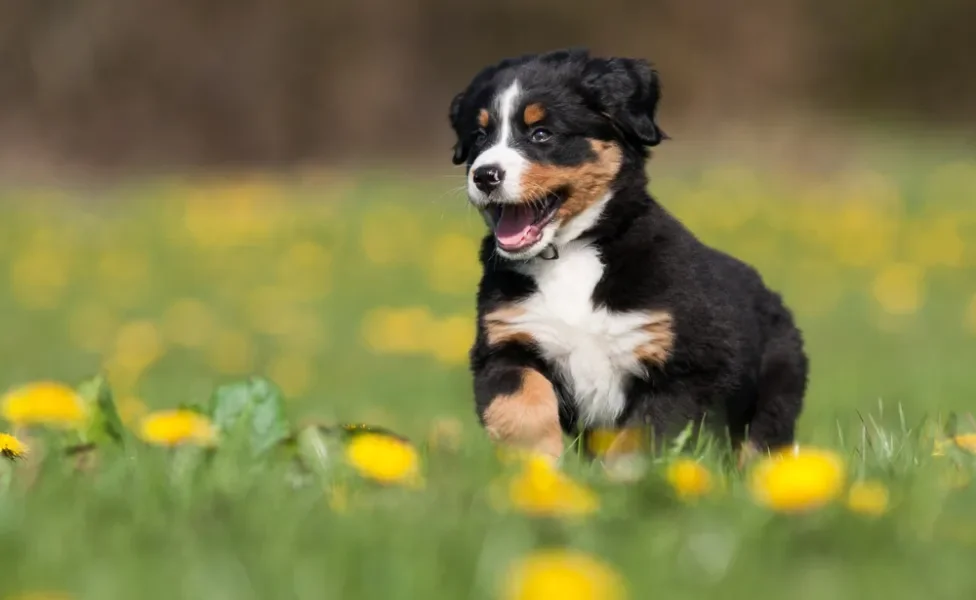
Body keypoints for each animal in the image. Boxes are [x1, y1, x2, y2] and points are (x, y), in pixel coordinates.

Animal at [450, 50, 808, 464]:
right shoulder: (505, 342)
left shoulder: (687, 367)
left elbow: (642, 437)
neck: (571, 252)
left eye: (541, 133)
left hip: (776, 389)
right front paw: (537, 467)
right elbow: (521, 406)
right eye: (479, 137)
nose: (485, 175)